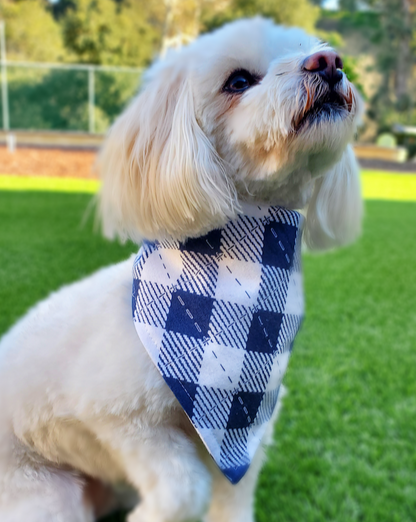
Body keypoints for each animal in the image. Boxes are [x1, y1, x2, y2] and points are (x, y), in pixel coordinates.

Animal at [0, 16, 362, 520]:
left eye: (311, 50)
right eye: (238, 81)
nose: (328, 62)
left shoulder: (246, 434)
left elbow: (233, 500)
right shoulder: (124, 419)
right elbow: (184, 488)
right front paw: (149, 516)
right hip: (47, 494)